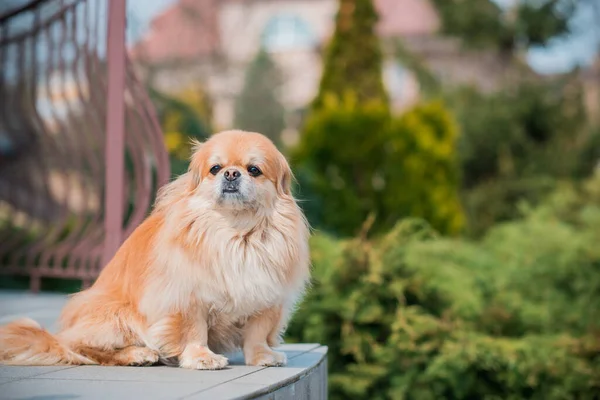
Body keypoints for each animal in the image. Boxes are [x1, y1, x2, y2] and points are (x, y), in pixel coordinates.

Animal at [0, 130, 310, 368]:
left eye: (254, 170)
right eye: (216, 169)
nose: (232, 174)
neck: (235, 233)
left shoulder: (266, 296)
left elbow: (257, 333)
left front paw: (262, 356)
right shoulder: (188, 298)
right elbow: (194, 331)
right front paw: (202, 357)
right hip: (117, 317)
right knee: (81, 348)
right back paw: (138, 354)